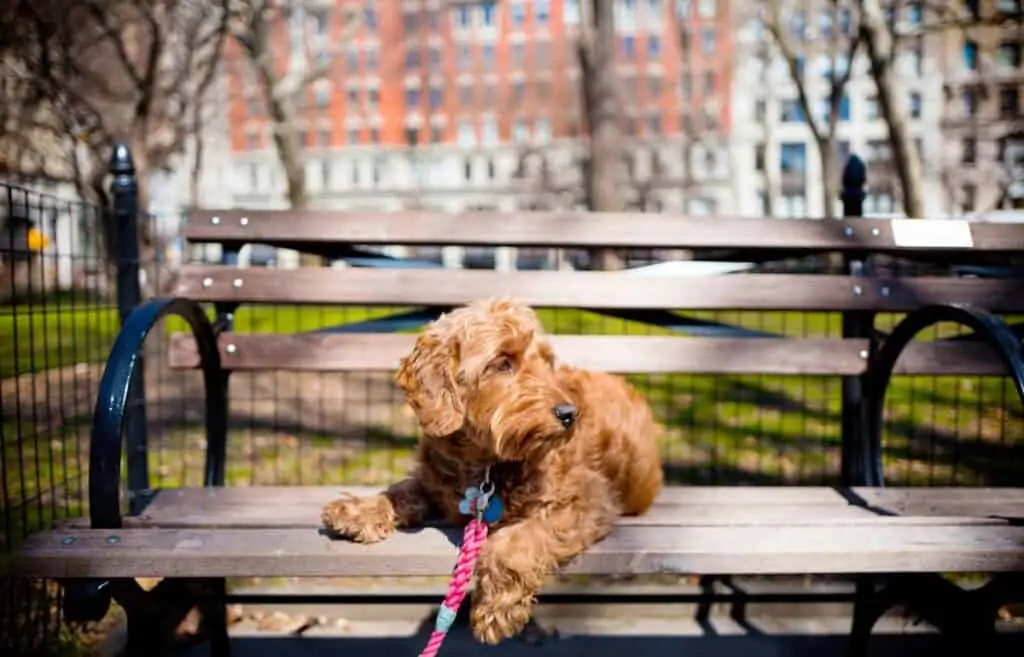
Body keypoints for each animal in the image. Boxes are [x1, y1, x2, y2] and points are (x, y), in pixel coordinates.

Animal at [323, 294, 667, 638]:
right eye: (503, 362)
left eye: (546, 361)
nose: (570, 413)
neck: (484, 463)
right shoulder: (436, 482)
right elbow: (403, 490)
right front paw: (358, 510)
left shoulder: (589, 500)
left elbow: (516, 541)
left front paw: (496, 610)